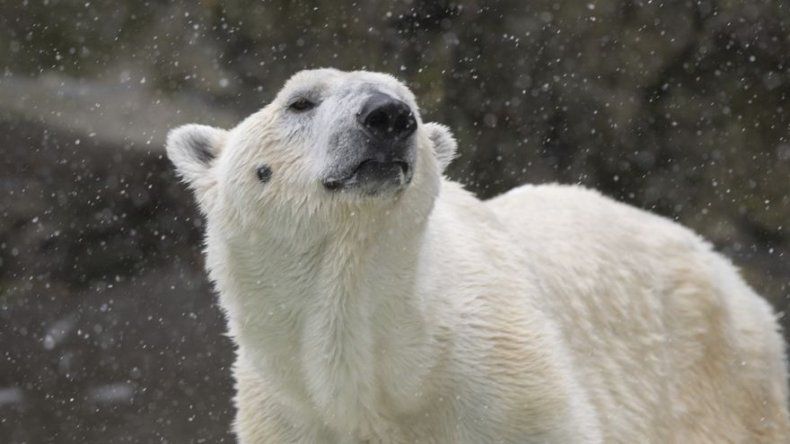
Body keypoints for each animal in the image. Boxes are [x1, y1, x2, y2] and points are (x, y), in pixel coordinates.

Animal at [166, 68, 790, 443]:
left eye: (411, 104)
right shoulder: (292, 414)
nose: (387, 116)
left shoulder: (510, 385)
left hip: (722, 389)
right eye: (299, 101)